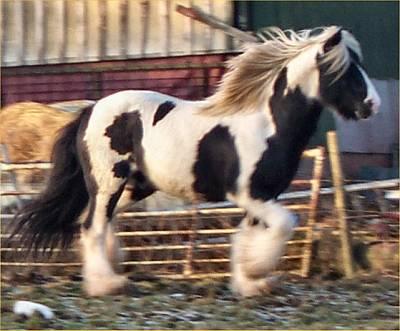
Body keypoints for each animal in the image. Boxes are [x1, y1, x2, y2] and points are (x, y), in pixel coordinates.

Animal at [11, 26, 382, 298]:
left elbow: (248, 235)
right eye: (346, 71)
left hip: (134, 187)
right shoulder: (247, 194)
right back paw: (106, 285)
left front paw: (251, 283)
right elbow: (284, 225)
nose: (372, 105)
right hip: (108, 182)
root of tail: (91, 110)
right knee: (93, 226)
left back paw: (111, 270)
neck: (267, 125)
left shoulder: (264, 196)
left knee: (94, 224)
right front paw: (258, 272)